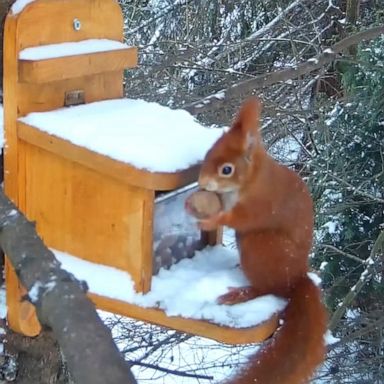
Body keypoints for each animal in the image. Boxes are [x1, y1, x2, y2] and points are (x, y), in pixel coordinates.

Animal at [192, 98, 328, 384]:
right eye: (208, 153)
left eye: (227, 169)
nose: (201, 182)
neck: (251, 179)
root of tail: (295, 280)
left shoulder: (260, 205)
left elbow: (239, 218)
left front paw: (210, 221)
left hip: (260, 246)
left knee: (269, 288)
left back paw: (243, 293)